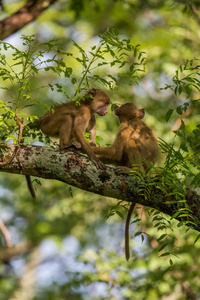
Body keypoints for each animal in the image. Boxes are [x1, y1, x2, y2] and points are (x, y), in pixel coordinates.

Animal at [93, 102, 159, 260]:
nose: (115, 107)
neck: (132, 119)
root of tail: (147, 172)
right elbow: (115, 156)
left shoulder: (123, 128)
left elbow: (115, 152)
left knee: (129, 143)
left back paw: (135, 172)